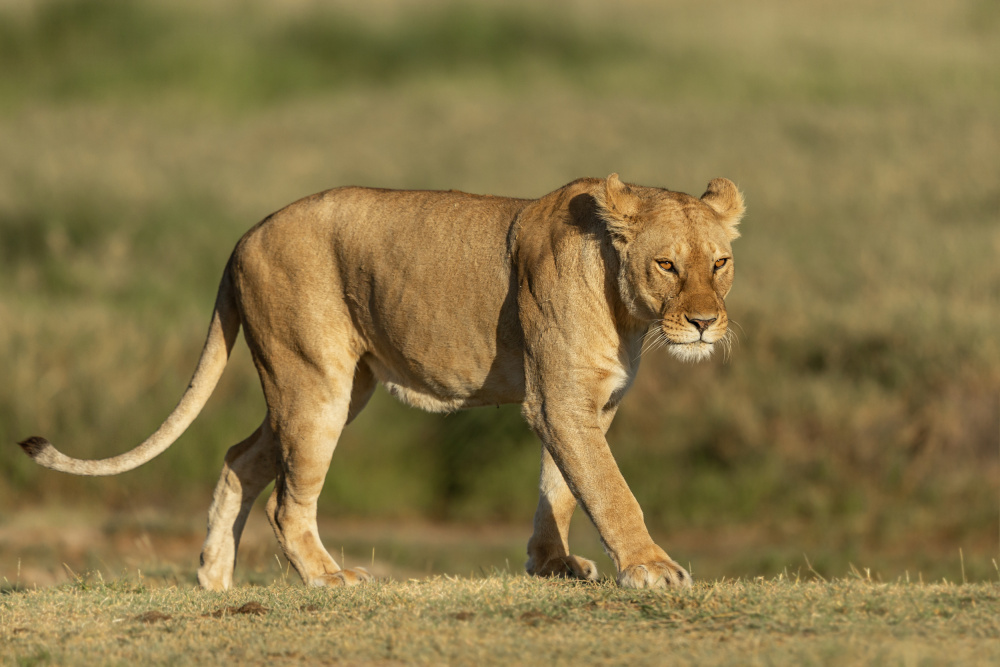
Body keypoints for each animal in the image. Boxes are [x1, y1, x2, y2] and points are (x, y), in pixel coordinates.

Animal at [19, 173, 744, 590]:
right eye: (667, 265)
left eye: (720, 263)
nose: (705, 323)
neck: (625, 306)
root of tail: (245, 235)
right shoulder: (559, 398)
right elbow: (610, 489)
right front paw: (653, 569)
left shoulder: (594, 399)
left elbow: (563, 486)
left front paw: (553, 565)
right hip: (314, 380)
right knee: (286, 500)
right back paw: (330, 577)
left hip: (333, 386)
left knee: (239, 459)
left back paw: (215, 580)